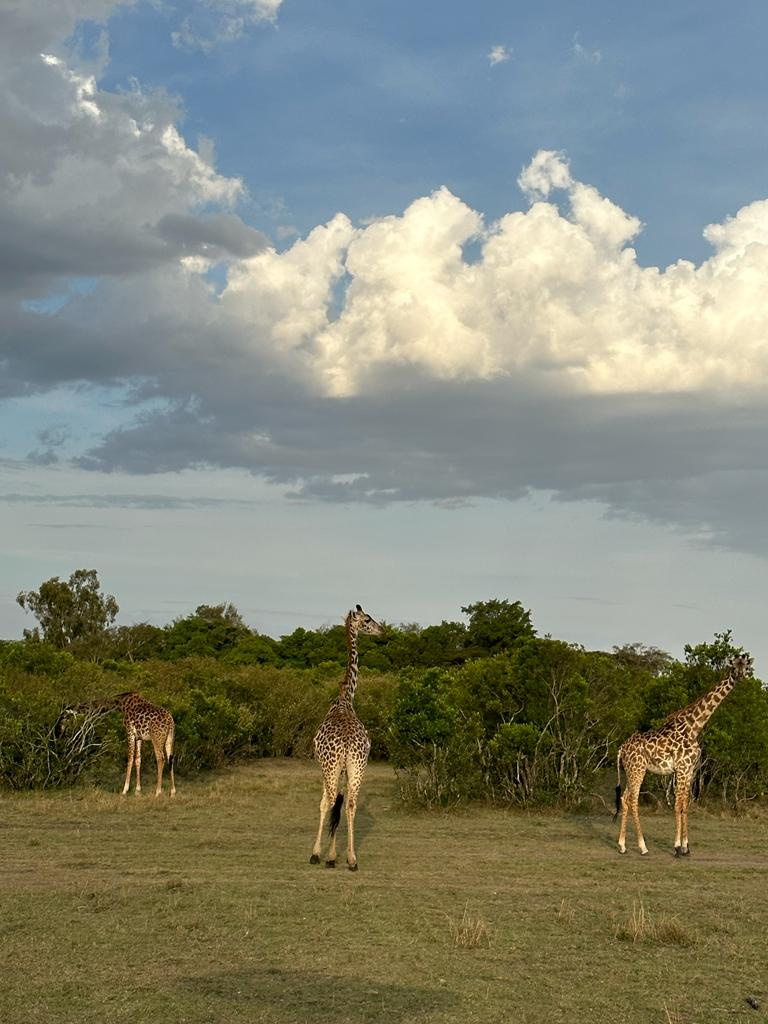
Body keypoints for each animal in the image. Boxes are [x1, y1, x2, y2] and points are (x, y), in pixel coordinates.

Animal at [309, 602, 385, 876]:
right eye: (368, 619)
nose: (382, 631)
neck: (344, 699)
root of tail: (346, 745)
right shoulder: (344, 768)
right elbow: (340, 806)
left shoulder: (326, 767)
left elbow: (326, 805)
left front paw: (324, 854)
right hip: (357, 765)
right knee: (350, 804)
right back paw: (352, 860)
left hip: (334, 766)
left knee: (332, 801)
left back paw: (324, 856)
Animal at [618, 655, 753, 856]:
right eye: (734, 666)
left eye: (745, 666)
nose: (740, 676)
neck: (694, 726)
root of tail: (621, 748)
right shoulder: (681, 768)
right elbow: (678, 804)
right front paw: (677, 847)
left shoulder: (690, 769)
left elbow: (685, 804)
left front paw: (686, 847)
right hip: (638, 769)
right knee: (633, 800)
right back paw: (643, 847)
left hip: (629, 770)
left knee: (624, 798)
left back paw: (622, 846)